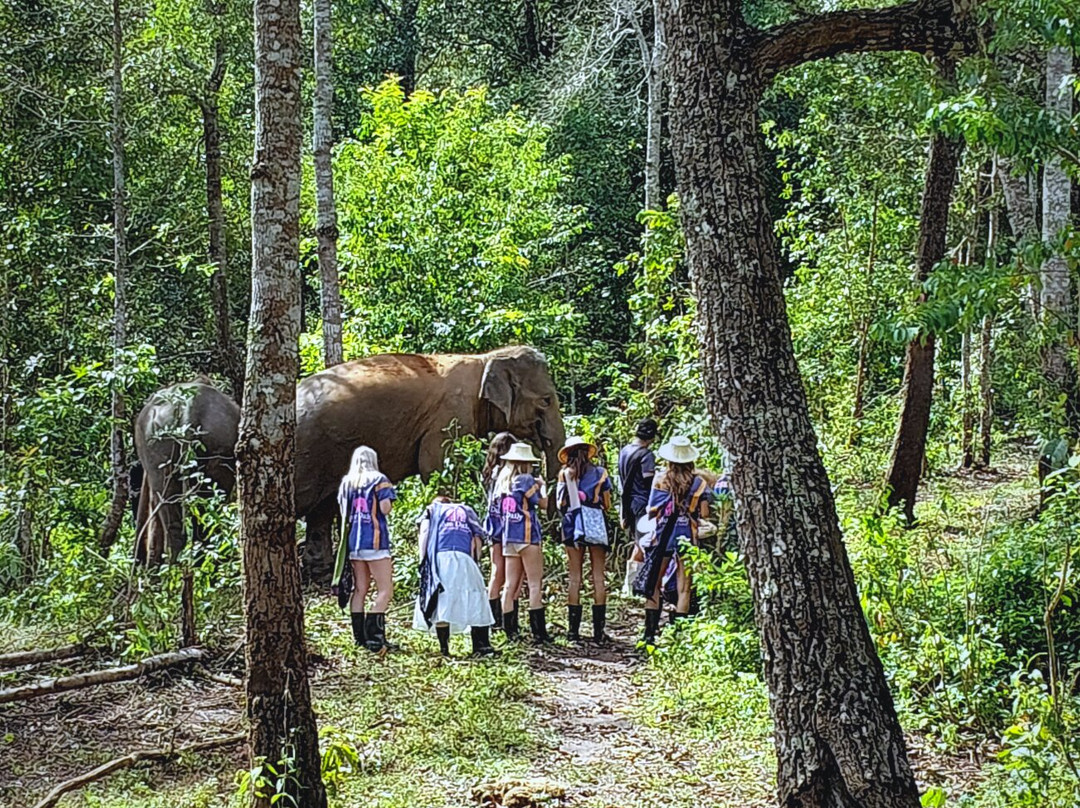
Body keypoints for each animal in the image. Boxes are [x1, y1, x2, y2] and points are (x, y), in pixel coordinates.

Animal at [294, 346, 566, 583]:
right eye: (546, 400)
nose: (556, 538)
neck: (485, 358)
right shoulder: (449, 419)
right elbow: (437, 469)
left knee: (323, 508)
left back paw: (321, 573)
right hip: (307, 453)